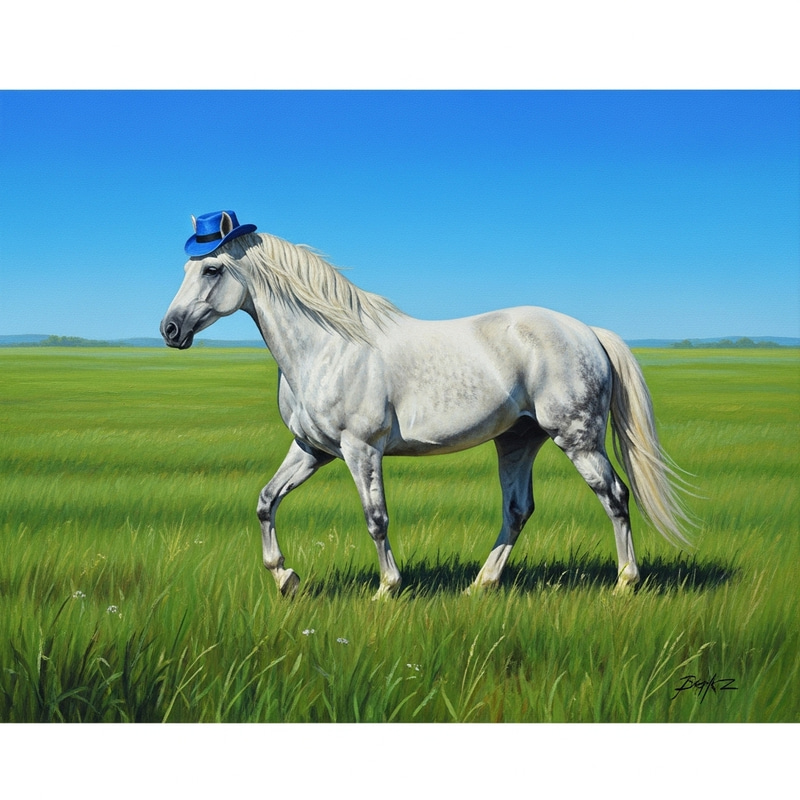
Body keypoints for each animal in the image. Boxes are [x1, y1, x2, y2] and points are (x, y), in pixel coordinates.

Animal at [161, 227, 692, 599]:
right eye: (187, 269)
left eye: (211, 270)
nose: (169, 330)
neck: (329, 346)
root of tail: (589, 332)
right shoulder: (312, 450)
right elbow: (265, 501)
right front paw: (285, 578)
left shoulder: (360, 449)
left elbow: (376, 518)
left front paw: (387, 589)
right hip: (518, 440)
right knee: (518, 510)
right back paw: (481, 584)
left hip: (577, 438)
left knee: (615, 496)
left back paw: (625, 581)